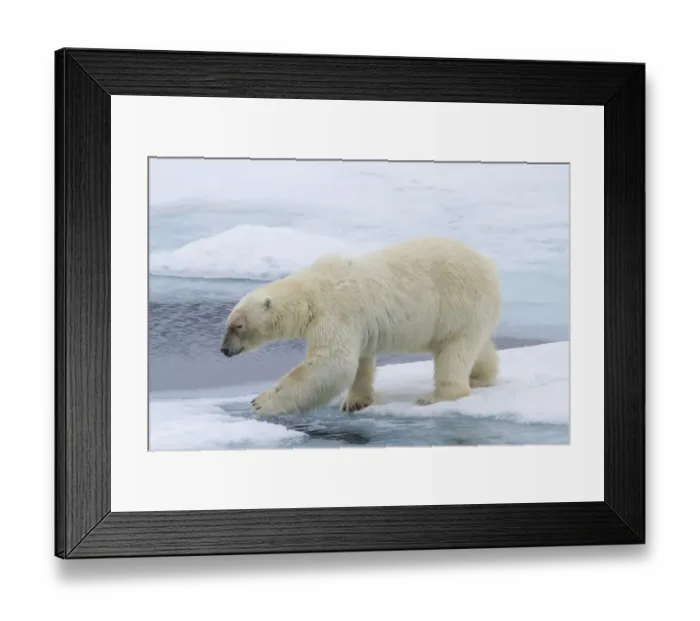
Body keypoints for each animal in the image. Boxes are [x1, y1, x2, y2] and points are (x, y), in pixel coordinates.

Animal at [220, 236, 501, 417]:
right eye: (228, 323)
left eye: (238, 326)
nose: (224, 350)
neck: (310, 293)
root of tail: (489, 266)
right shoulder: (358, 324)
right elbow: (359, 361)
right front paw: (355, 402)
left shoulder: (334, 312)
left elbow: (331, 363)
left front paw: (260, 402)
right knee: (474, 346)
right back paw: (480, 376)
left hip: (457, 303)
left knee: (454, 351)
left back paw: (436, 396)